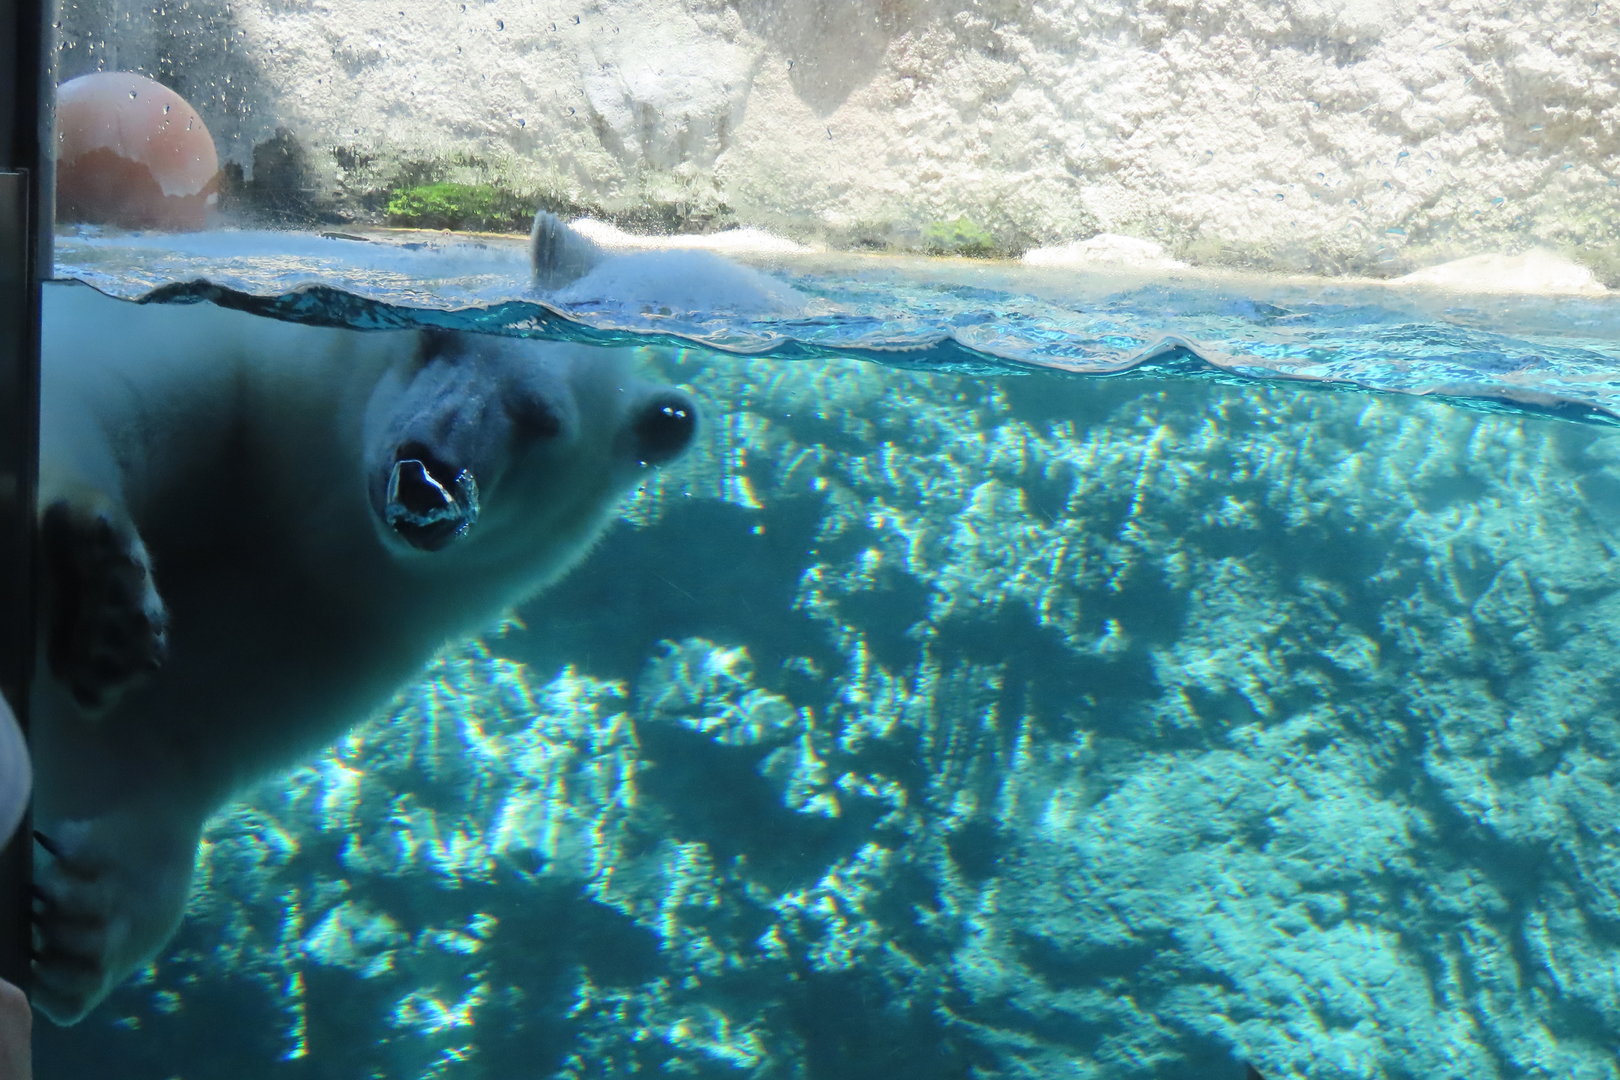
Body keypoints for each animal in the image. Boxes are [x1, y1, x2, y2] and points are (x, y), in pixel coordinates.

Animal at [29, 217, 699, 1025]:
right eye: (434, 340)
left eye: (542, 421)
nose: (426, 471)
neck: (291, 491)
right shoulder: (218, 373)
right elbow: (95, 391)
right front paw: (101, 597)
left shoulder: (332, 622)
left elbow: (162, 745)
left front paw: (86, 923)